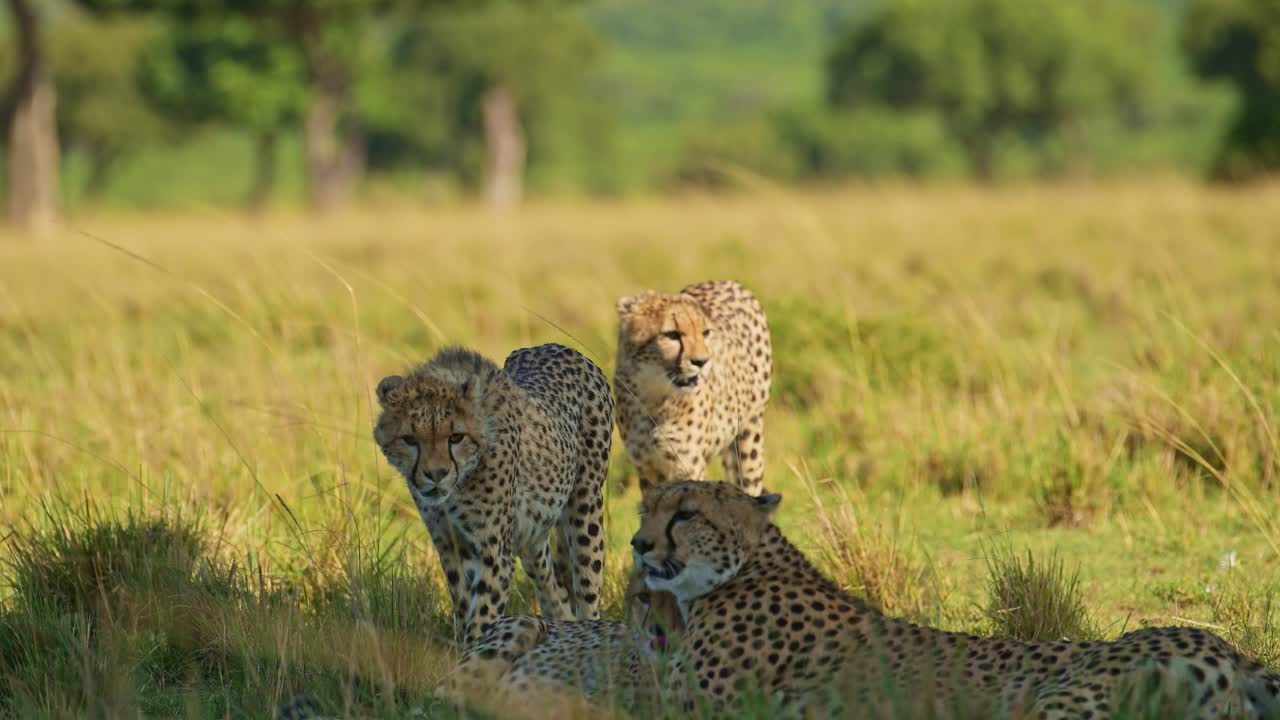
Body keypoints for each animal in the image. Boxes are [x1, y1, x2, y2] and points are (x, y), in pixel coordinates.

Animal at [374, 344, 613, 646]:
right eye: (410, 439)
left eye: (456, 437)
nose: (436, 474)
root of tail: (557, 347)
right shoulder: (452, 546)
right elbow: (465, 608)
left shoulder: (495, 553)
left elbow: (482, 616)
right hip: (531, 533)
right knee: (550, 583)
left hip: (585, 509)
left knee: (587, 588)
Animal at [614, 280, 772, 496]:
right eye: (671, 334)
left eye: (705, 333)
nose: (702, 361)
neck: (654, 397)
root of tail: (728, 282)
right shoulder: (647, 467)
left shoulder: (687, 466)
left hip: (749, 434)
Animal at [630, 481, 1280, 719]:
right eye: (645, 509)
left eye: (686, 514)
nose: (638, 545)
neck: (744, 569)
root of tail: (1223, 646)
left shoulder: (689, 707)